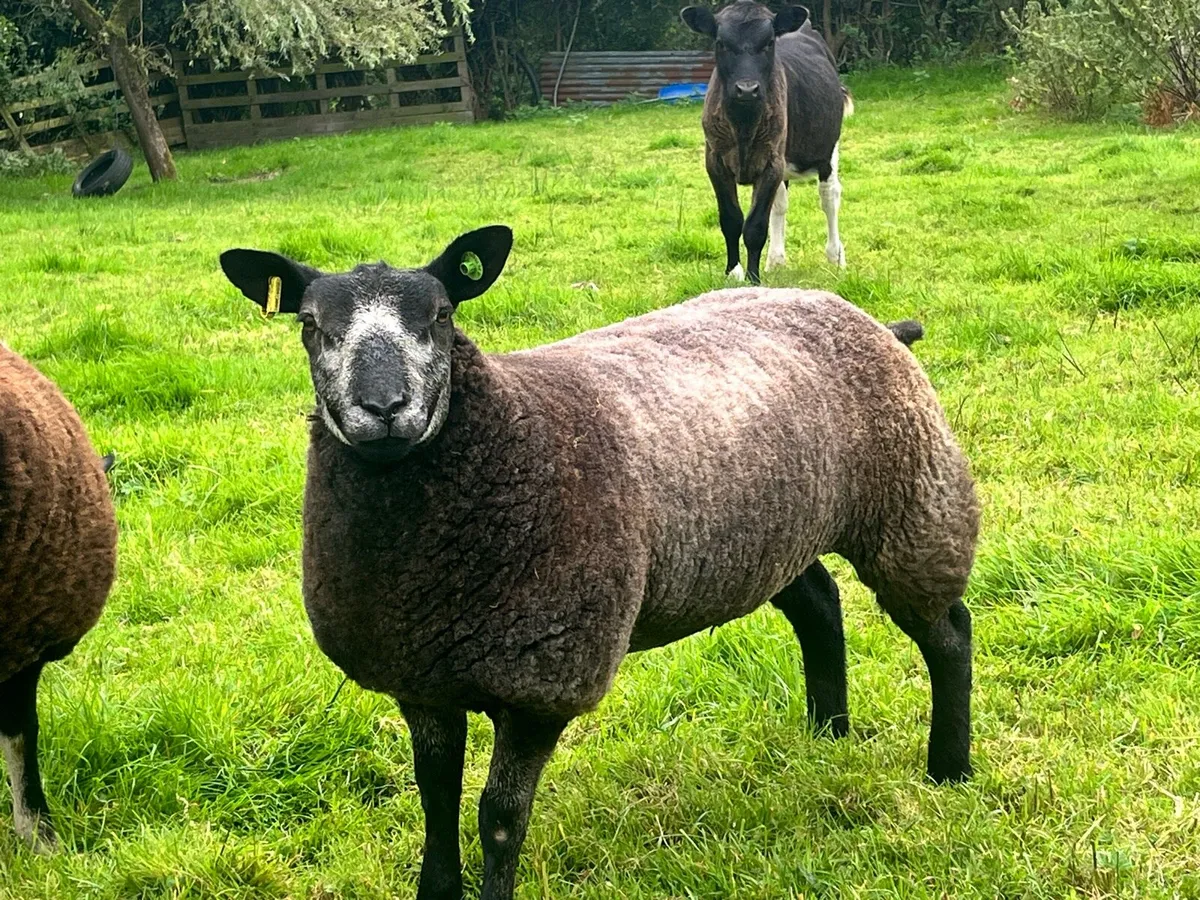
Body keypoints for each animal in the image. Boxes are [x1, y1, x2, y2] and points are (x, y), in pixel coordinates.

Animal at [219, 225, 979, 900]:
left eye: (440, 315)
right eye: (310, 324)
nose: (383, 407)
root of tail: (864, 315)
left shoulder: (542, 683)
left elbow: (498, 819)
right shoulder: (418, 673)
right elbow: (434, 797)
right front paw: (435, 892)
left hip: (914, 501)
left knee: (949, 633)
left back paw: (949, 768)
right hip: (769, 534)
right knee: (820, 602)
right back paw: (828, 732)